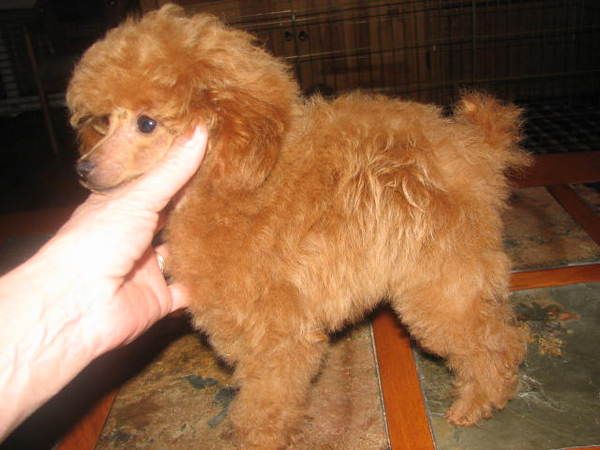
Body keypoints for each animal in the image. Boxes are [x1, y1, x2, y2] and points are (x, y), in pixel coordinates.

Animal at [67, 5, 530, 448]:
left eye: (146, 123)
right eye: (105, 121)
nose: (83, 170)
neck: (238, 180)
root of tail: (475, 148)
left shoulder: (278, 334)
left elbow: (266, 407)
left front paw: (261, 441)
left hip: (440, 273)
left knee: (494, 340)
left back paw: (477, 401)